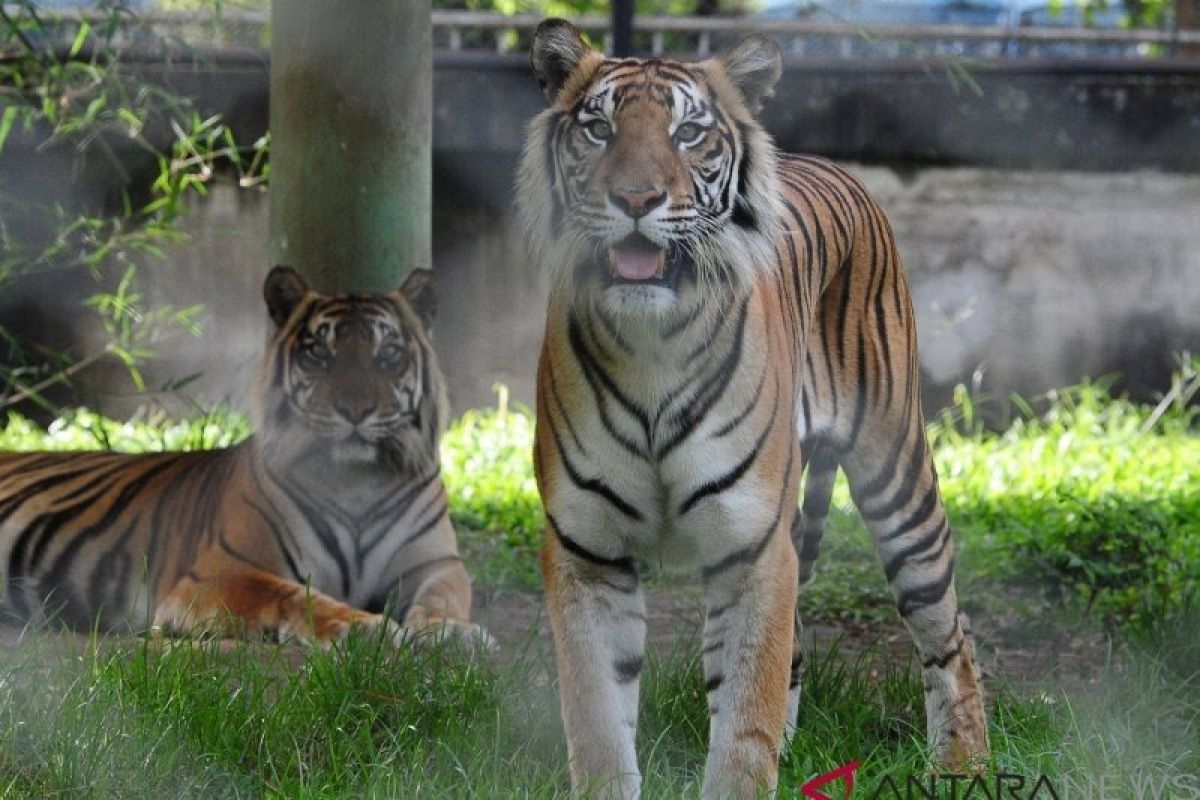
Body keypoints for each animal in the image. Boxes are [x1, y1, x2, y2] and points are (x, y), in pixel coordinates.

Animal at [1, 267, 487, 652]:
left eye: (388, 353)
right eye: (319, 353)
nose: (354, 409)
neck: (356, 482)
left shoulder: (434, 563)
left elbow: (444, 596)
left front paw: (452, 632)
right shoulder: (218, 572)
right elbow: (290, 593)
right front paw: (364, 628)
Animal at [520, 18, 988, 800]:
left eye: (687, 133)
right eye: (598, 128)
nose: (636, 199)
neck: (652, 343)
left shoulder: (752, 547)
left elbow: (743, 725)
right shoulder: (587, 551)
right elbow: (598, 719)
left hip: (897, 476)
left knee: (950, 634)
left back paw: (961, 765)